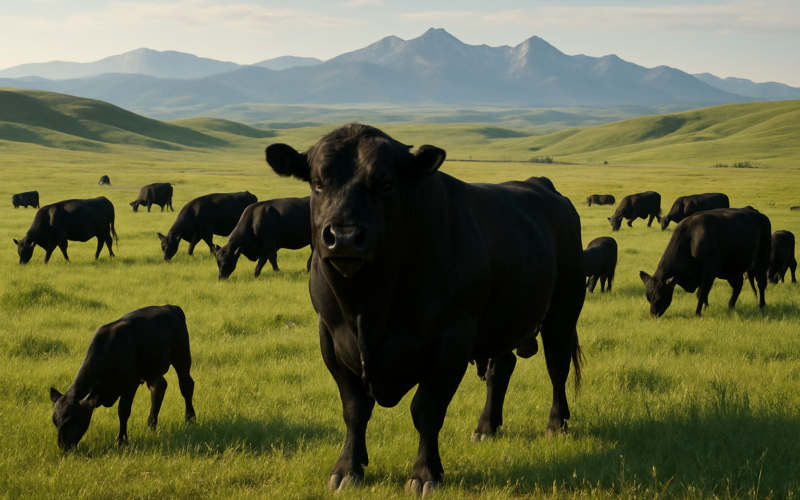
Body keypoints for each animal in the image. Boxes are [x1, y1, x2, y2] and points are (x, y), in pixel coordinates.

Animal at [49, 305, 196, 450]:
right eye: (55, 421)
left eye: (71, 419)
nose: (63, 446)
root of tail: (170, 307)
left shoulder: (131, 383)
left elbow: (123, 410)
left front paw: (122, 440)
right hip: (152, 368)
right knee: (159, 386)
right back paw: (151, 424)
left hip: (182, 356)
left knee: (186, 385)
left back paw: (190, 418)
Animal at [265, 123, 585, 495]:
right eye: (318, 183)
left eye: (386, 184)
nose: (343, 237)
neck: (367, 308)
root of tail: (542, 184)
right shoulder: (330, 337)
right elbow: (355, 409)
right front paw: (347, 468)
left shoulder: (451, 340)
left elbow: (427, 410)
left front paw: (424, 473)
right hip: (502, 321)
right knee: (501, 368)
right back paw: (486, 427)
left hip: (563, 311)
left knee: (557, 367)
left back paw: (556, 424)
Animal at [639, 207, 771, 317]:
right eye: (649, 297)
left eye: (659, 297)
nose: (653, 314)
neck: (690, 239)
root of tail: (757, 213)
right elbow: (704, 293)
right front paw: (706, 308)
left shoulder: (709, 270)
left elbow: (701, 292)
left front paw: (698, 312)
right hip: (732, 268)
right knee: (737, 285)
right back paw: (730, 306)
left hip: (762, 258)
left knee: (761, 282)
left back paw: (761, 305)